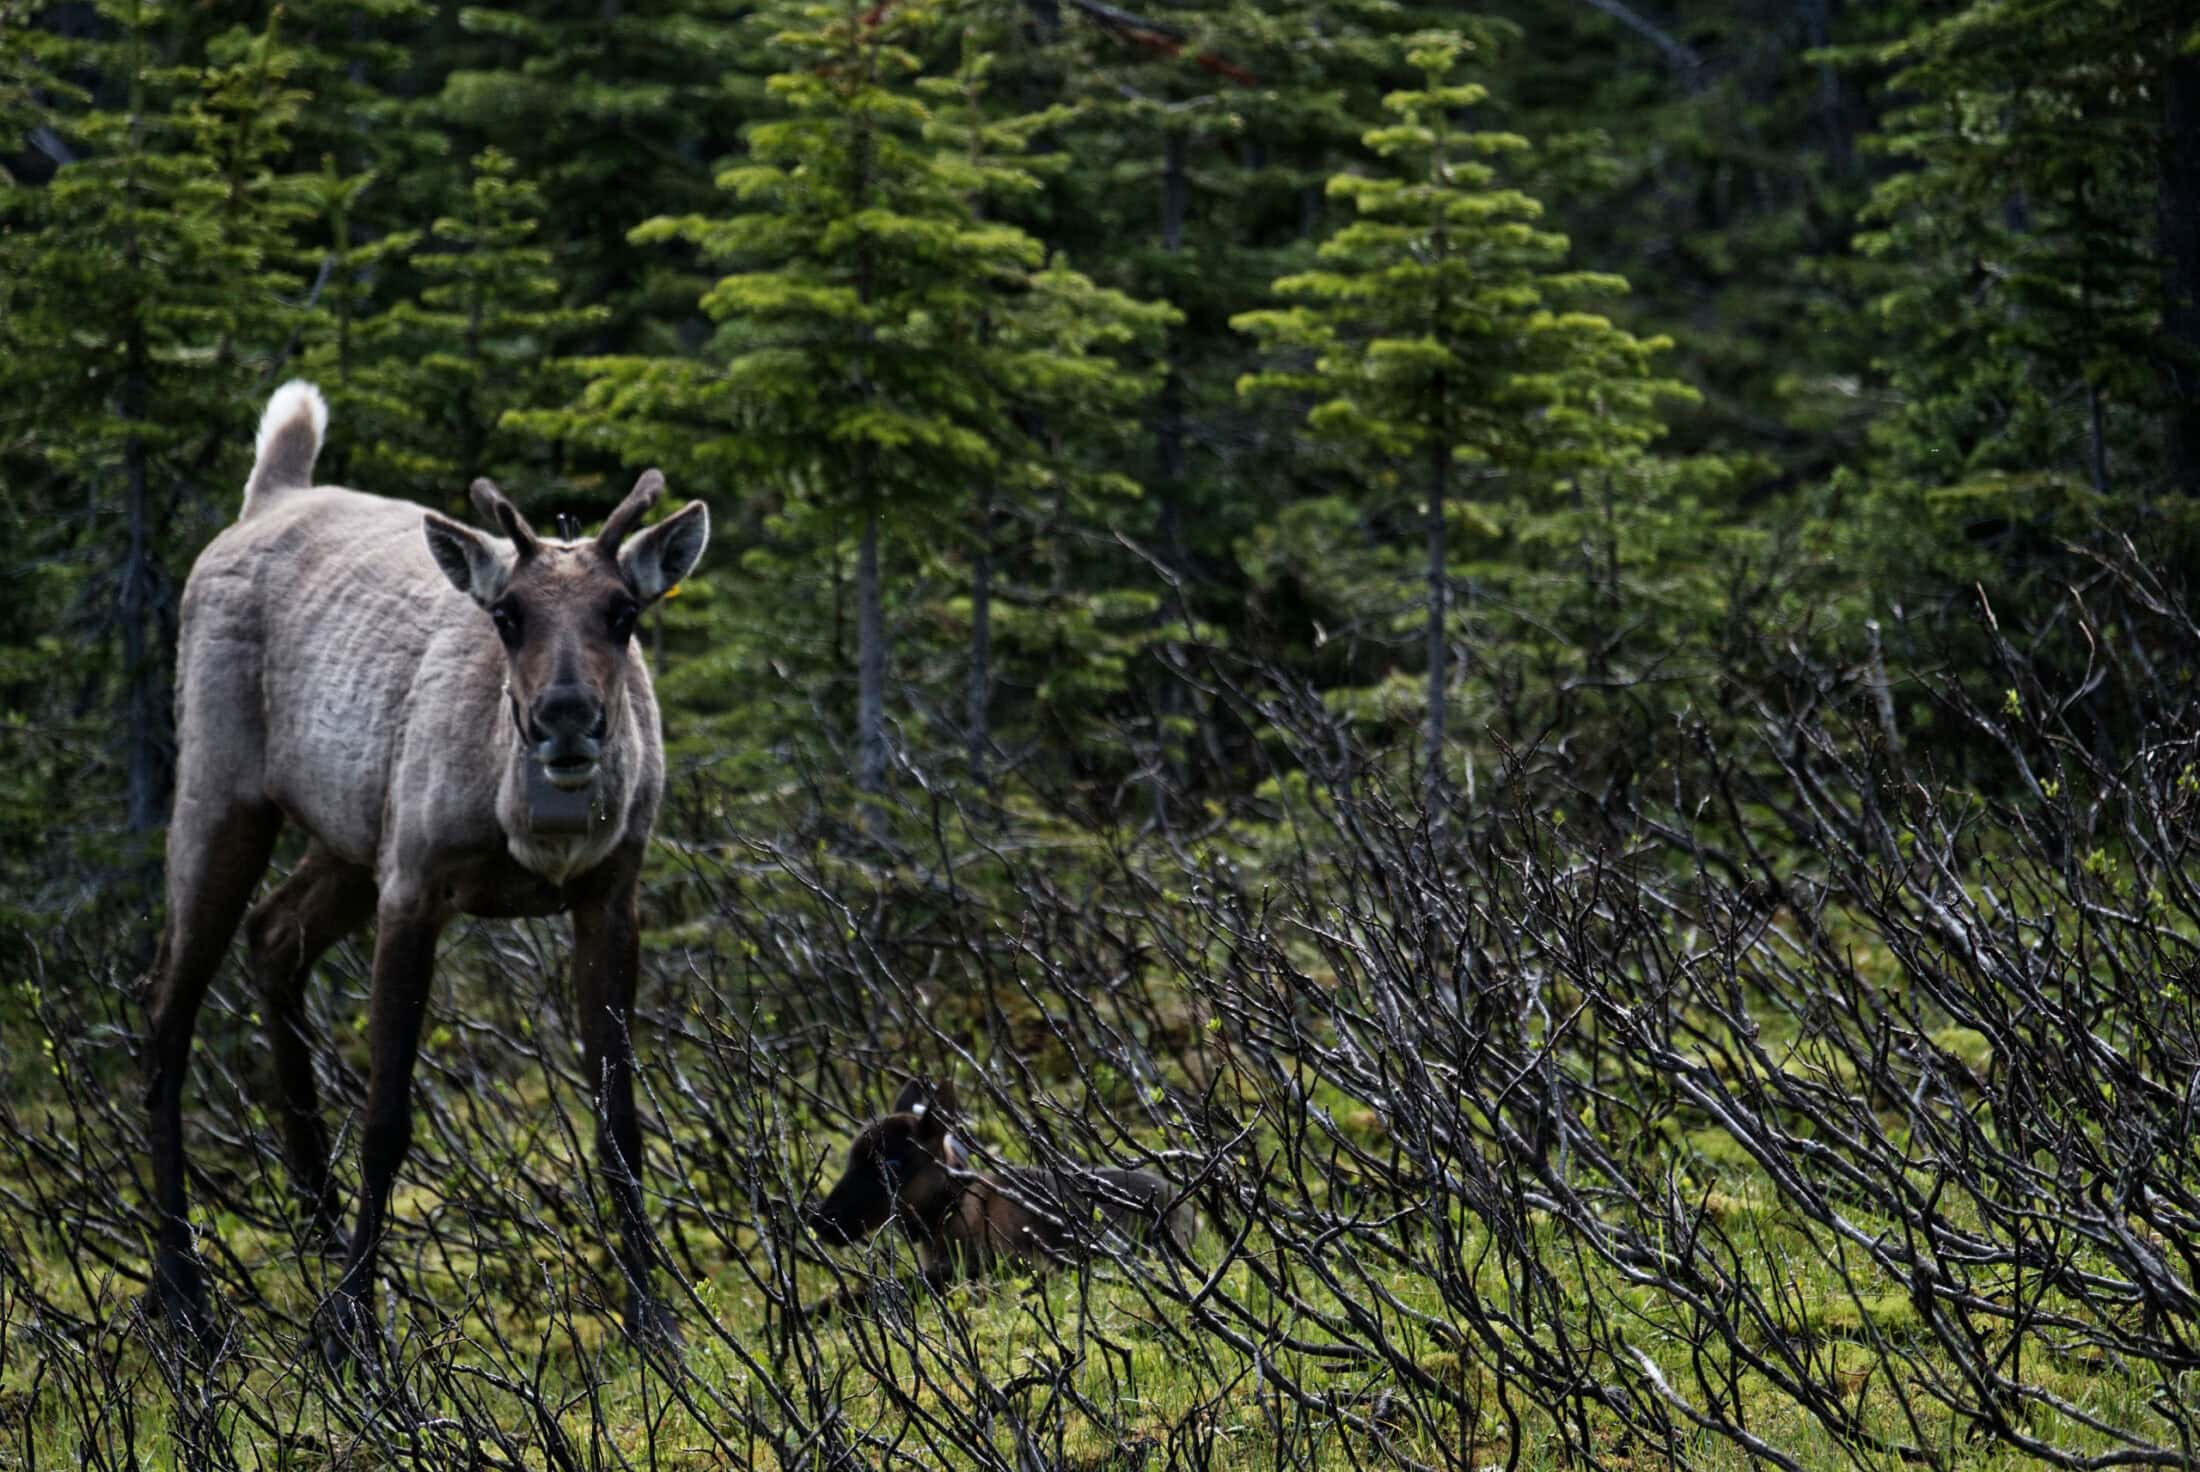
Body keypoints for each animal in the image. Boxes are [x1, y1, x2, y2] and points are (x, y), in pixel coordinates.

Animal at [146, 382, 708, 1355]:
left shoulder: (611, 895)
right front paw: (352, 1331)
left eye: (623, 613)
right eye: (508, 615)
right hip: (223, 797)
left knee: (274, 935)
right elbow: (386, 1121)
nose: (565, 716)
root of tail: (267, 496)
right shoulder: (414, 887)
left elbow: (620, 1123)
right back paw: (186, 1296)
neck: (539, 835)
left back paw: (316, 1224)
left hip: (344, 839)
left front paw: (654, 1320)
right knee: (163, 1018)